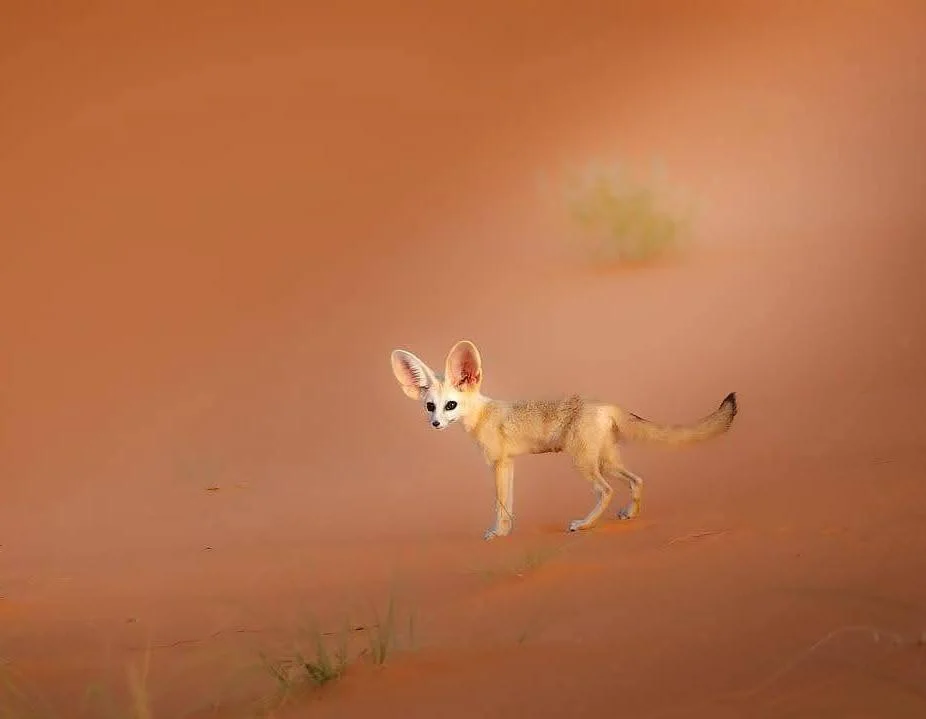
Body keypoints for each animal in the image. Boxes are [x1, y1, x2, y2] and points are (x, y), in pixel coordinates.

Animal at [390, 339, 738, 540]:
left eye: (451, 405)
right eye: (430, 406)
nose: (435, 424)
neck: (483, 413)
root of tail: (605, 403)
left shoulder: (498, 463)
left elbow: (499, 504)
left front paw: (497, 533)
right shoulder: (509, 463)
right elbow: (509, 504)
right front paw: (507, 532)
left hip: (583, 462)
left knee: (606, 490)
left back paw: (584, 525)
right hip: (606, 460)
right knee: (637, 479)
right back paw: (629, 514)